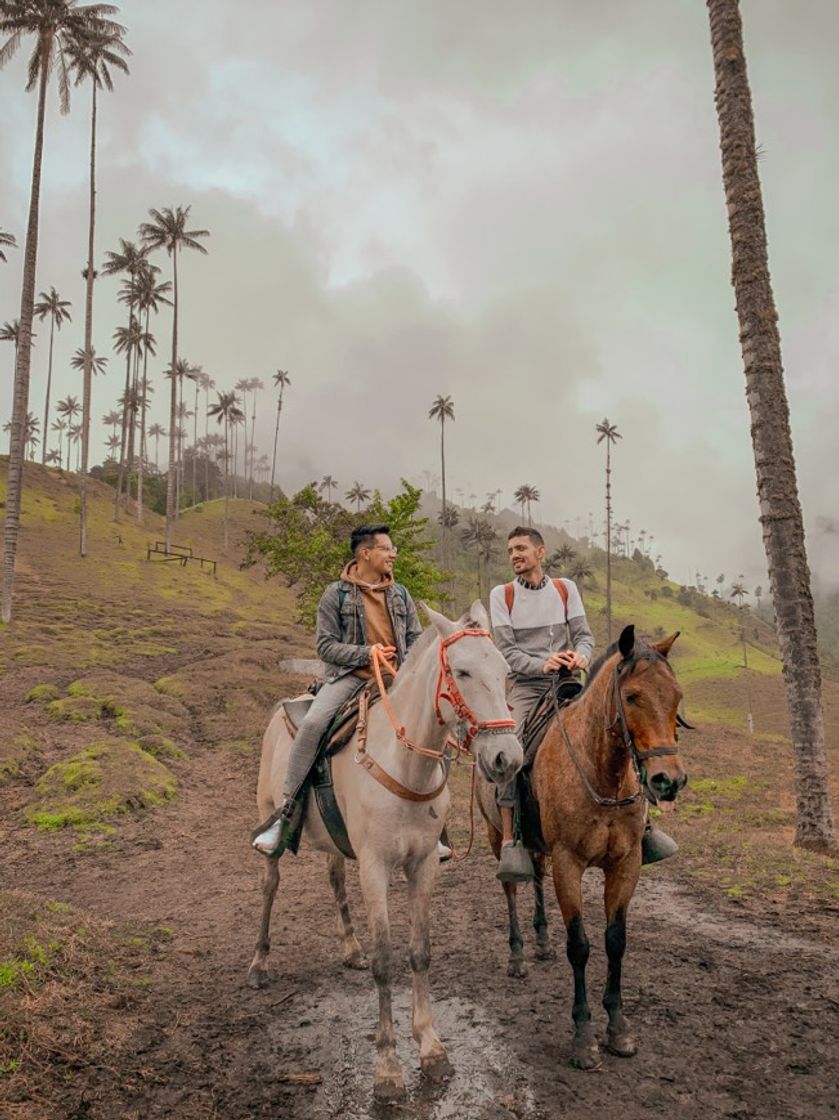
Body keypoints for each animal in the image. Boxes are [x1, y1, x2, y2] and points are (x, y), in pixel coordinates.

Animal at [248, 604, 519, 1102]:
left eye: (505, 672)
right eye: (462, 671)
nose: (506, 758)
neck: (404, 765)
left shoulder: (423, 865)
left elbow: (419, 952)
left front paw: (431, 1049)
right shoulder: (374, 869)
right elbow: (384, 960)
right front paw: (388, 1068)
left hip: (336, 844)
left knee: (334, 877)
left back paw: (349, 946)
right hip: (269, 821)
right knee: (269, 886)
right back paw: (259, 963)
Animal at [477, 627, 685, 1070]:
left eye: (677, 695)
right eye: (632, 696)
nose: (668, 780)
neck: (601, 771)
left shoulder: (626, 863)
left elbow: (615, 941)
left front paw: (618, 1028)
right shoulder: (568, 864)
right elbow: (580, 946)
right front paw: (583, 1036)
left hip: (539, 847)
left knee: (536, 877)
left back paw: (541, 942)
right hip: (496, 836)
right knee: (511, 889)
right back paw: (518, 956)